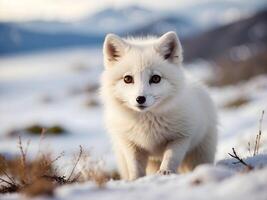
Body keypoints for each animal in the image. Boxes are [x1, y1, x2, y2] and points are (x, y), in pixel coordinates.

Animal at [100, 31, 218, 181]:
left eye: (155, 78)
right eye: (128, 79)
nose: (140, 99)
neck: (148, 124)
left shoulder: (181, 137)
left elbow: (170, 158)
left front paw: (165, 173)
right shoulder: (131, 145)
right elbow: (135, 167)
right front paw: (135, 180)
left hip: (200, 154)